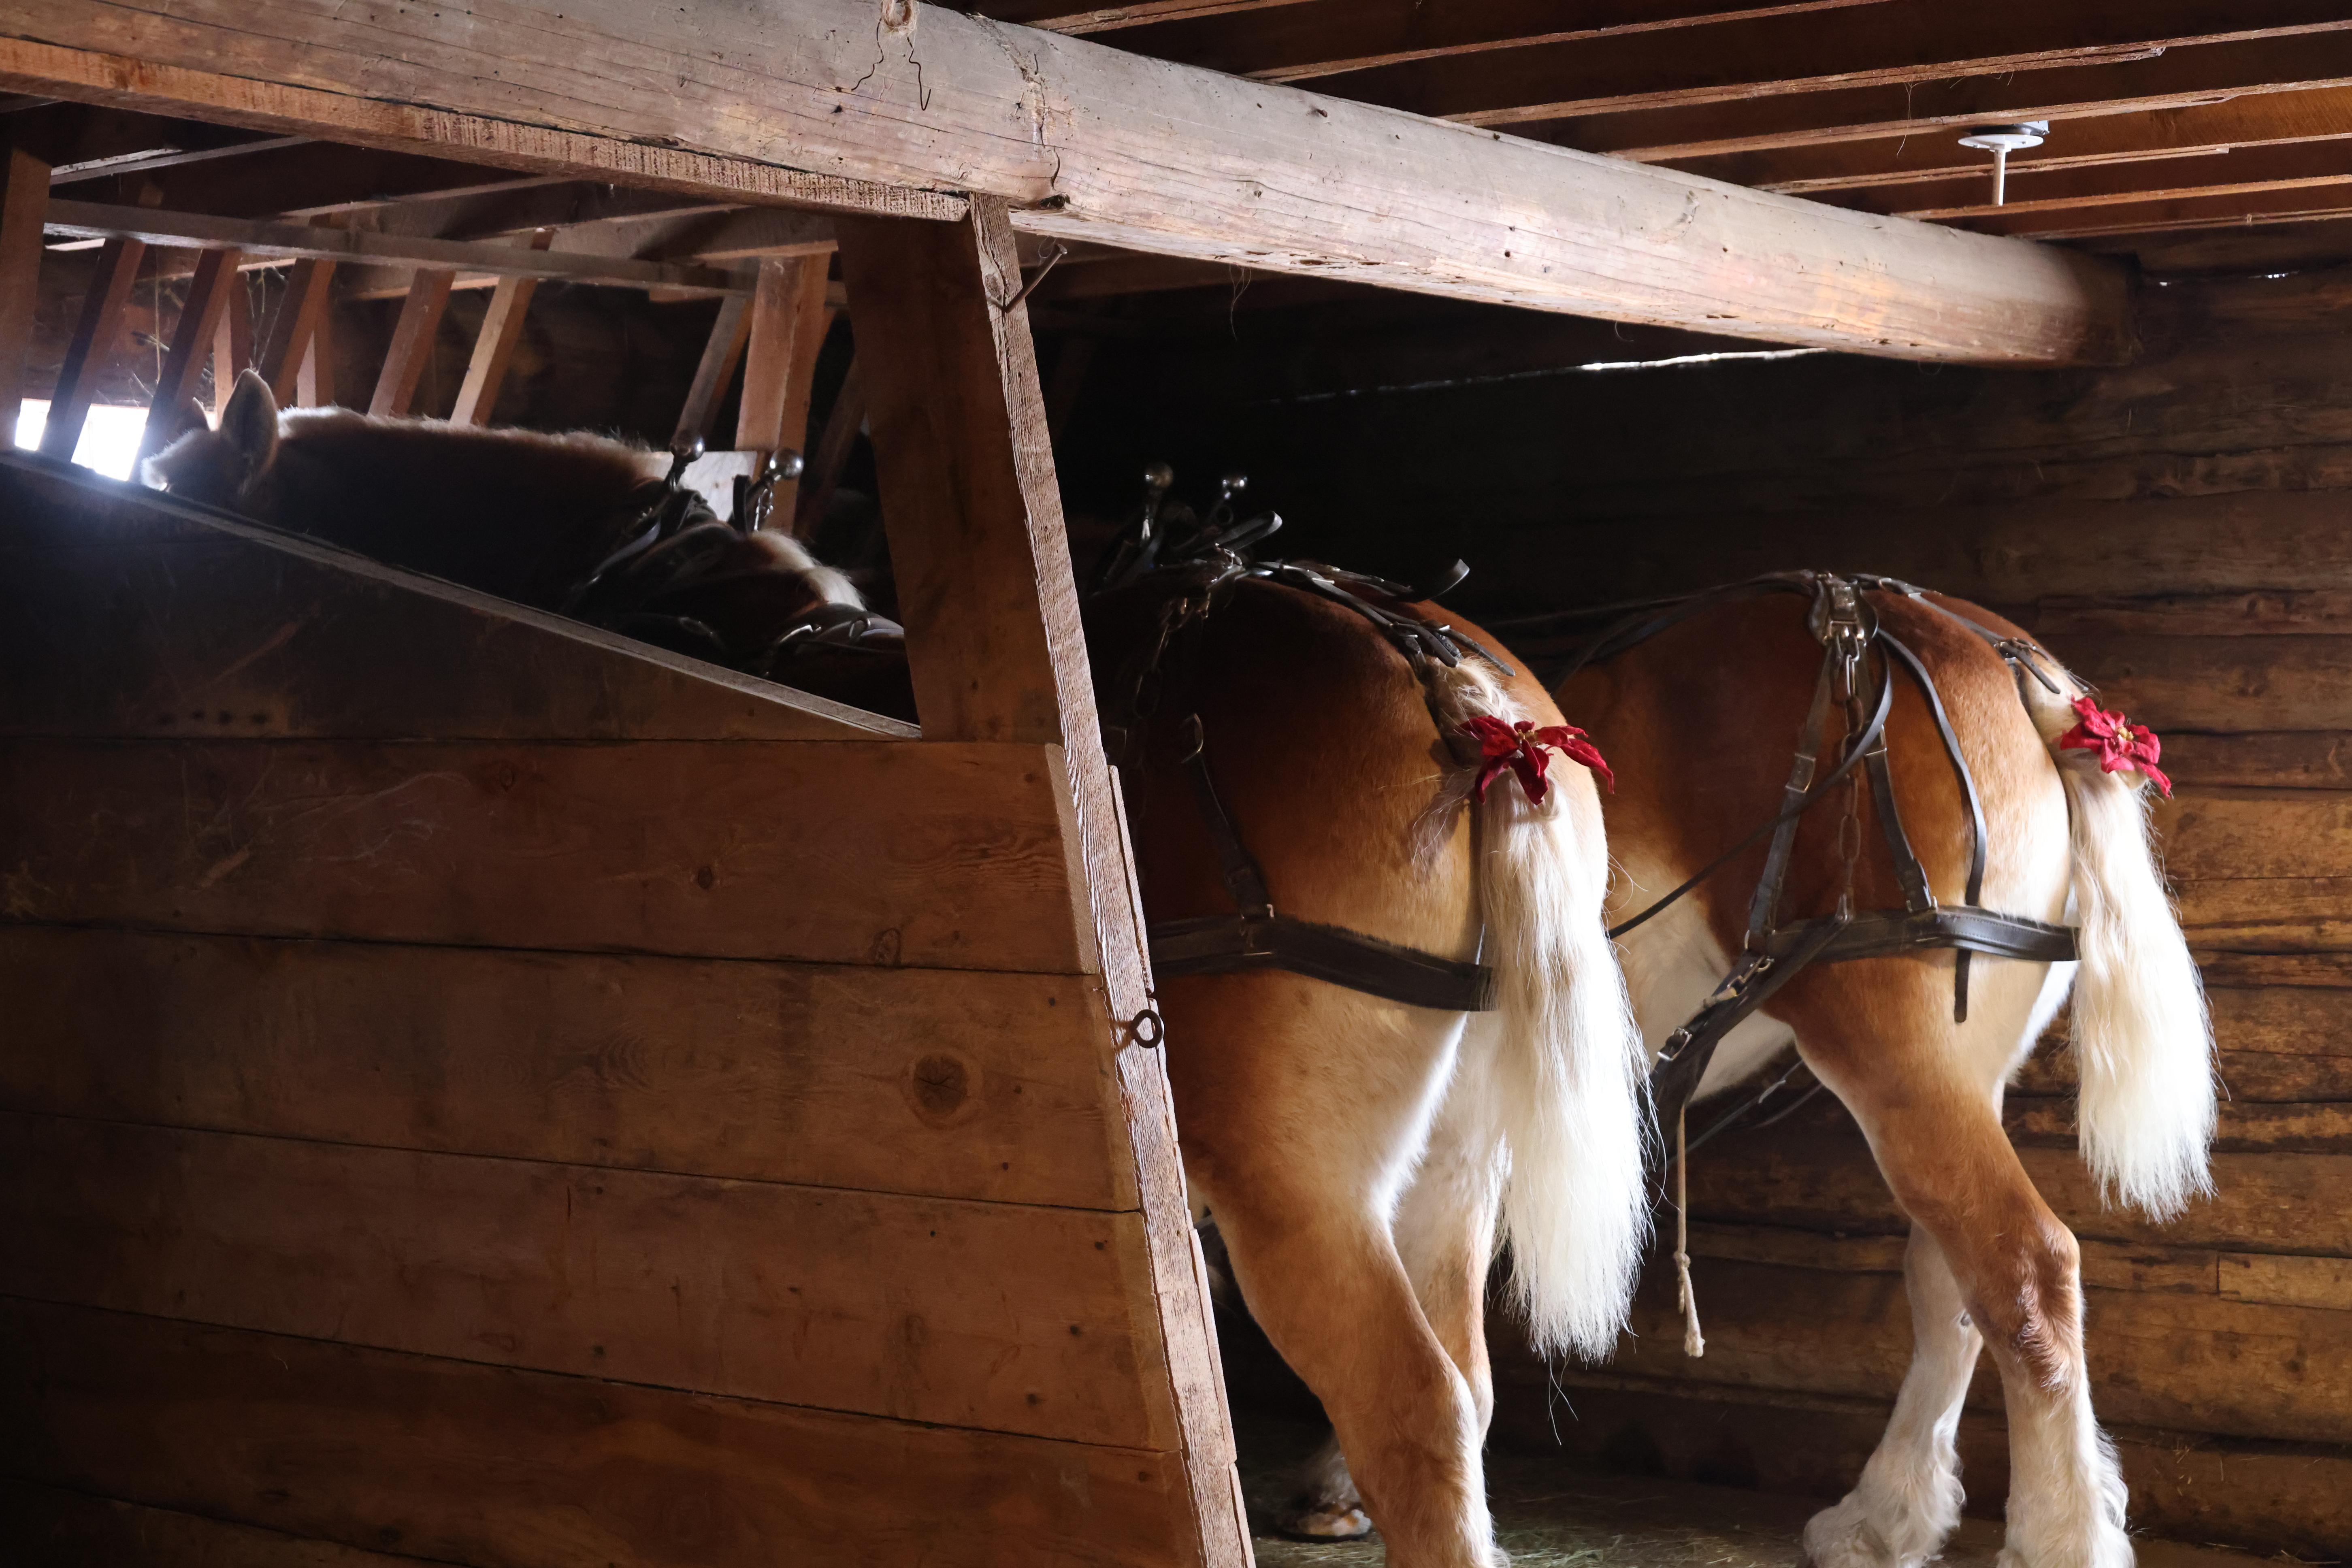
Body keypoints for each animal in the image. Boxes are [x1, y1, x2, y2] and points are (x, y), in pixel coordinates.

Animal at [1278, 576, 2213, 1568]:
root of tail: (2007, 662)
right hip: (1960, 1071)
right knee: (1950, 1283)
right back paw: (1885, 1512)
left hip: (1897, 1054)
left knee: (2023, 1267)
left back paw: (2059, 1530)